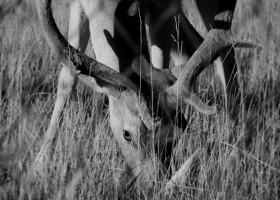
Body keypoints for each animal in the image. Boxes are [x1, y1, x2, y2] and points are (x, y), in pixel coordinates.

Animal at [34, 0, 252, 195]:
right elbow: (67, 77)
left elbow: (159, 60)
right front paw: (40, 165)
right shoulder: (77, 5)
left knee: (224, 52)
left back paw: (238, 144)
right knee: (196, 46)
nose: (154, 185)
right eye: (127, 134)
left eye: (175, 137)